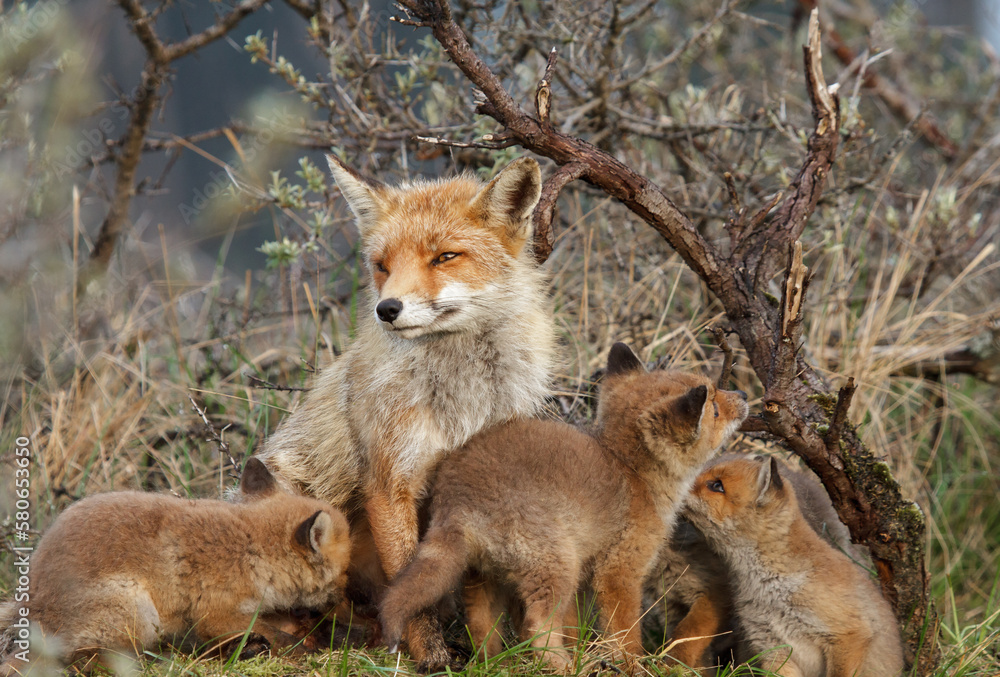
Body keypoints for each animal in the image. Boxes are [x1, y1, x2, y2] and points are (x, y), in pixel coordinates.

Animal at [0, 459, 350, 676]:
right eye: (346, 573)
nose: (352, 600)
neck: (253, 547)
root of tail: (29, 608)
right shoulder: (215, 613)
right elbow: (276, 635)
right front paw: (306, 647)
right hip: (138, 612)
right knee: (90, 660)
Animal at [254, 154, 557, 665]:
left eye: (445, 257)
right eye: (382, 266)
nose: (387, 309)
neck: (461, 405)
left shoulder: (479, 487)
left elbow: (478, 597)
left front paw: (487, 655)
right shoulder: (389, 483)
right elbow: (412, 589)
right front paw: (432, 658)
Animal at [379, 342, 750, 672]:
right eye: (714, 407)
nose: (744, 395)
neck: (631, 470)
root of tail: (458, 502)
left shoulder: (585, 576)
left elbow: (574, 628)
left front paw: (590, 651)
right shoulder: (619, 571)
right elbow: (625, 633)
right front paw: (632, 666)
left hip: (485, 575)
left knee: (482, 625)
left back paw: (498, 664)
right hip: (556, 566)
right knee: (536, 626)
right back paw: (563, 666)